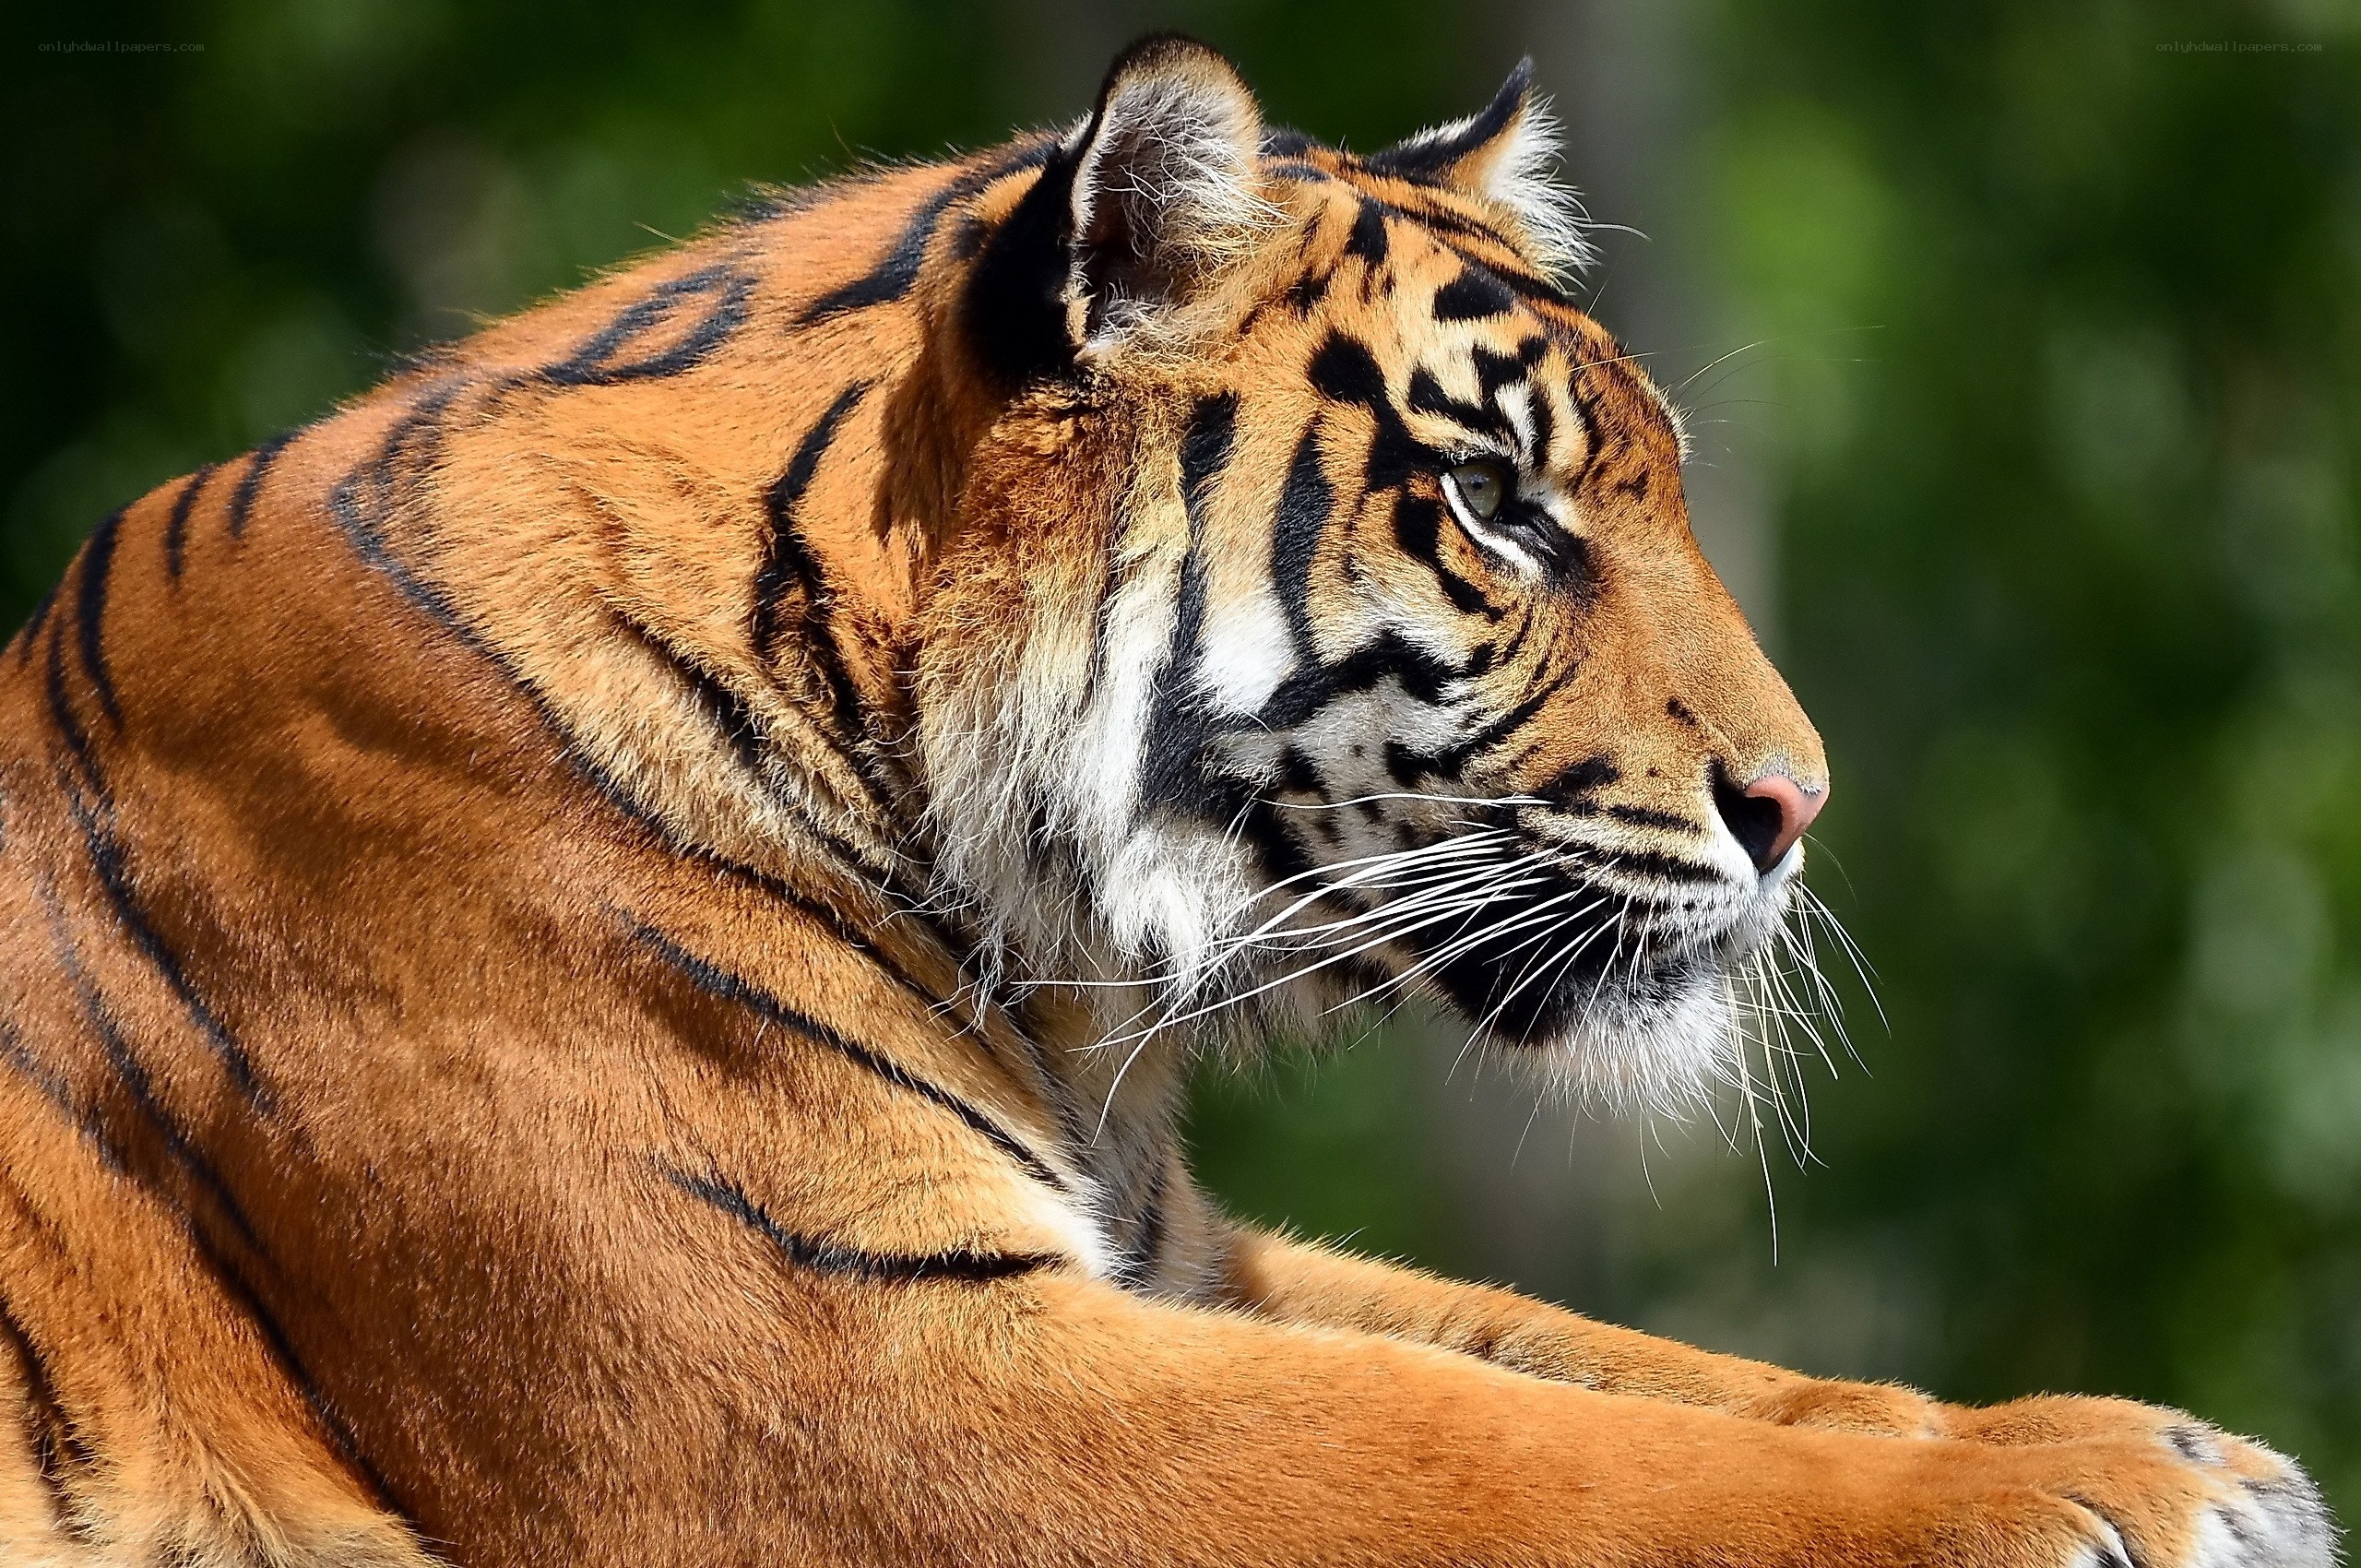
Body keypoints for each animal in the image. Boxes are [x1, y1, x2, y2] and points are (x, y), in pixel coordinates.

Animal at [0, 31, 2330, 1568]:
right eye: (1494, 502)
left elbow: (1601, 1360)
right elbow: (1506, 1450)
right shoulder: (852, 1375)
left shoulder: (1170, 1259)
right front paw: (2076, 1485)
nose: (1796, 799)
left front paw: (2169, 1444)